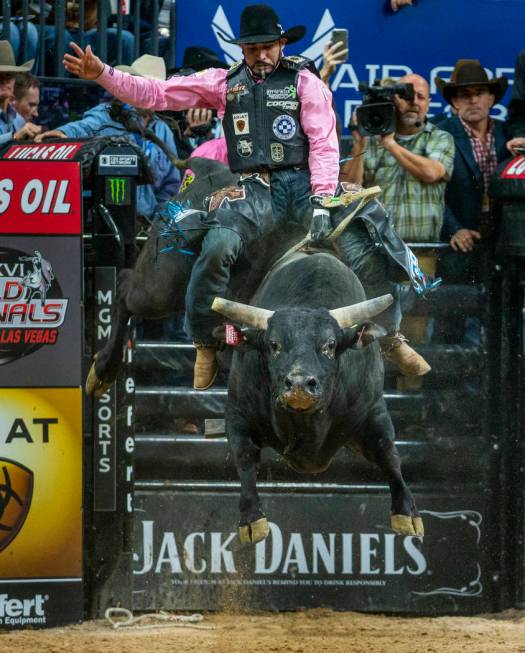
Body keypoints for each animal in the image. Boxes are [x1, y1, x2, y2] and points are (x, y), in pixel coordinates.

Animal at [211, 252, 424, 544]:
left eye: (330, 345)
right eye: (274, 345)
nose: (300, 384)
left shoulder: (373, 410)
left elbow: (388, 453)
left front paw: (407, 513)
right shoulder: (238, 411)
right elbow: (244, 456)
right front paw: (252, 519)